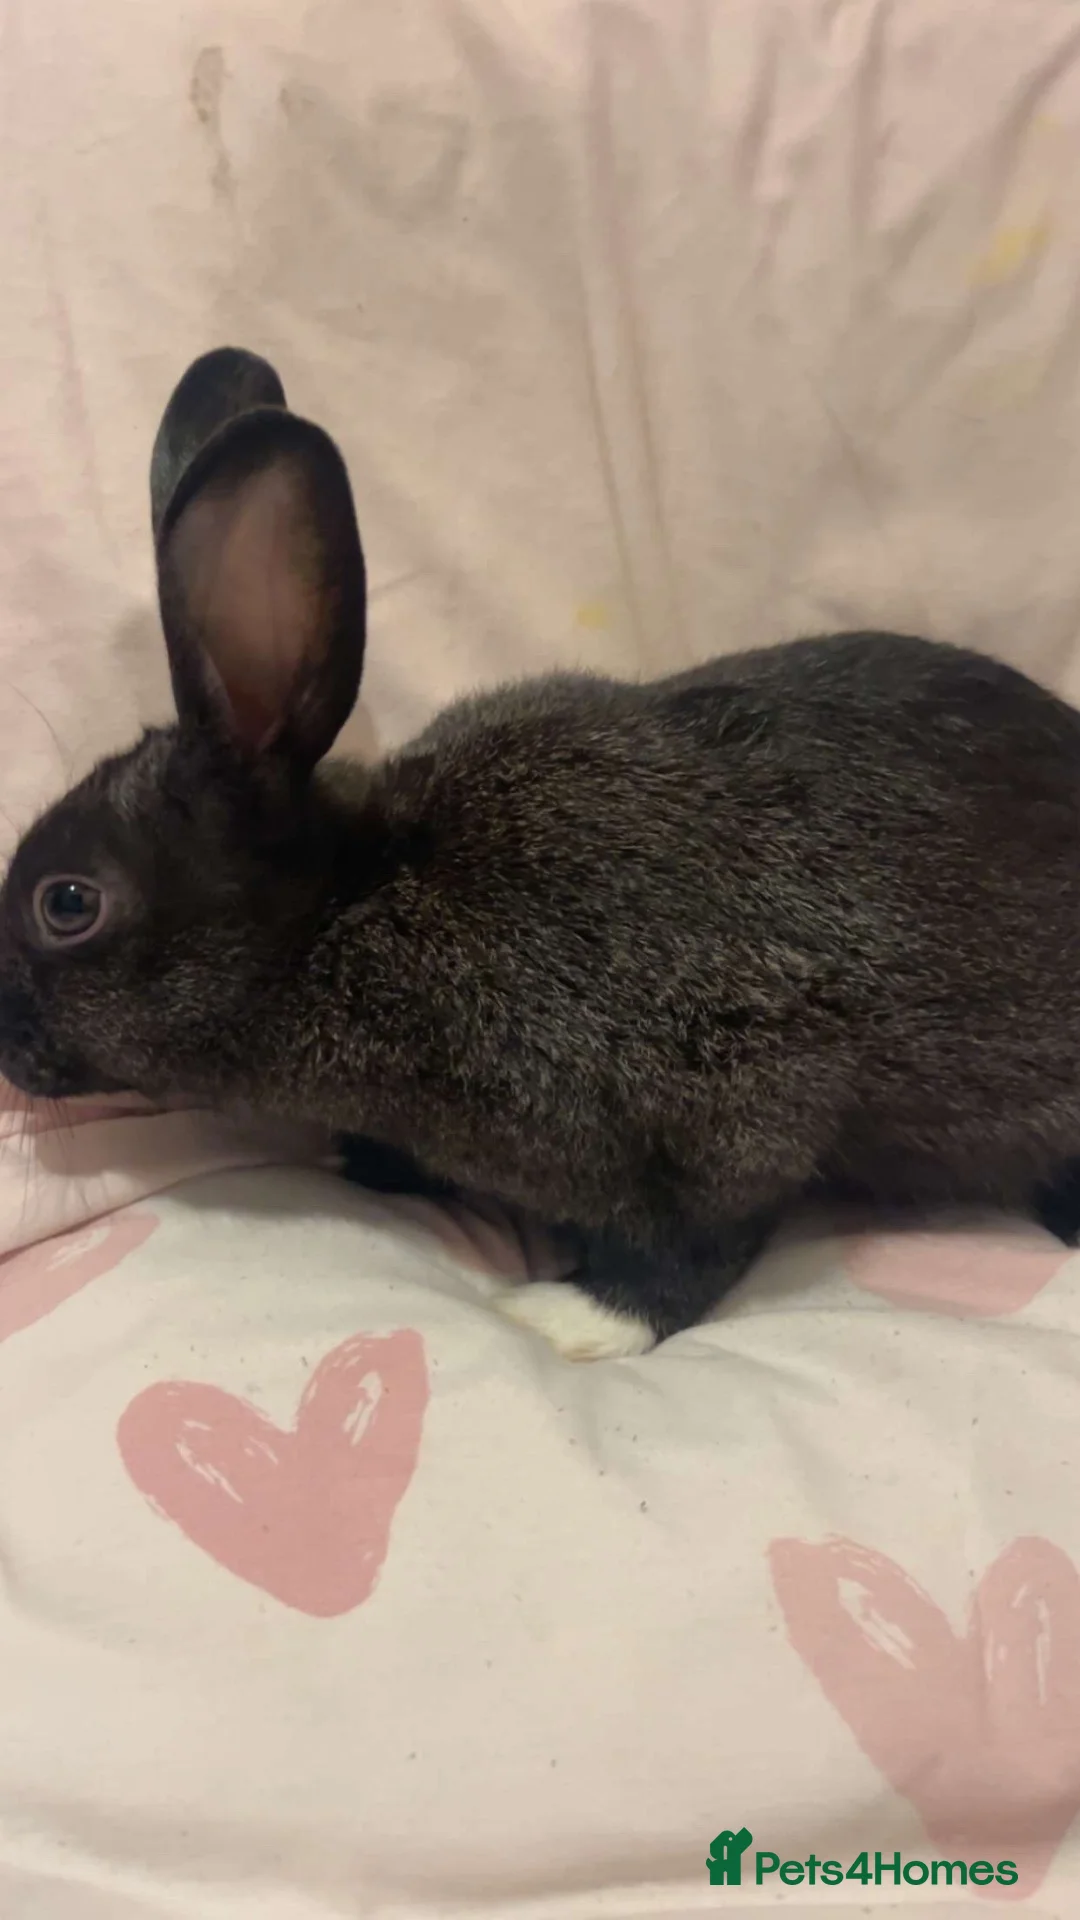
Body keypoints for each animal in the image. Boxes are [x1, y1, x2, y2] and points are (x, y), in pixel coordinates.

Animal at [1, 344, 1079, 1361]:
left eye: (68, 903)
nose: (2, 1045)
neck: (357, 906)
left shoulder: (743, 1099)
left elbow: (694, 1247)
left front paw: (568, 1319)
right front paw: (377, 1163)